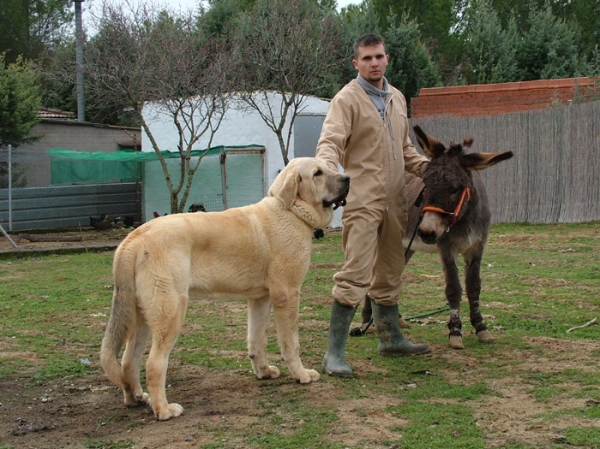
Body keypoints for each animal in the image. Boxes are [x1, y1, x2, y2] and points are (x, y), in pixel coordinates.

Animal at [100, 156, 350, 418]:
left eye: (329, 168)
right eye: (318, 173)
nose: (347, 179)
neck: (291, 210)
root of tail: (134, 239)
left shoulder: (260, 299)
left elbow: (257, 340)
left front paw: (263, 372)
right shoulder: (287, 295)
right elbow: (291, 343)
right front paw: (301, 375)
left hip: (142, 317)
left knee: (128, 360)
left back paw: (137, 398)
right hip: (170, 311)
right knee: (154, 363)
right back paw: (164, 410)